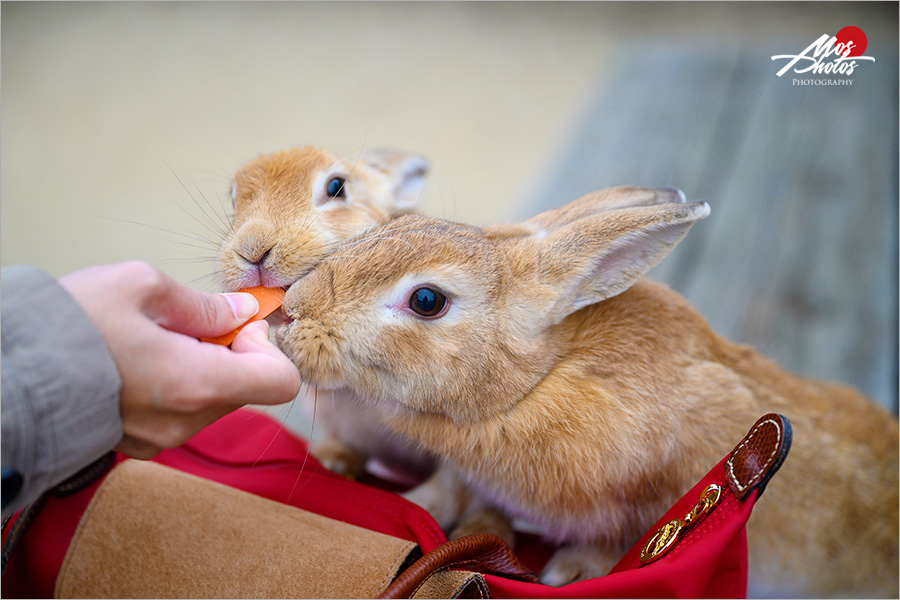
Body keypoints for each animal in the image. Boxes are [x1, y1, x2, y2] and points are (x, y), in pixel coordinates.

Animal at [278, 186, 896, 596]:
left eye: (426, 300)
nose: (289, 312)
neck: (536, 382)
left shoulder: (658, 487)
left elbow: (620, 538)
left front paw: (569, 570)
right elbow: (451, 491)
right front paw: (423, 508)